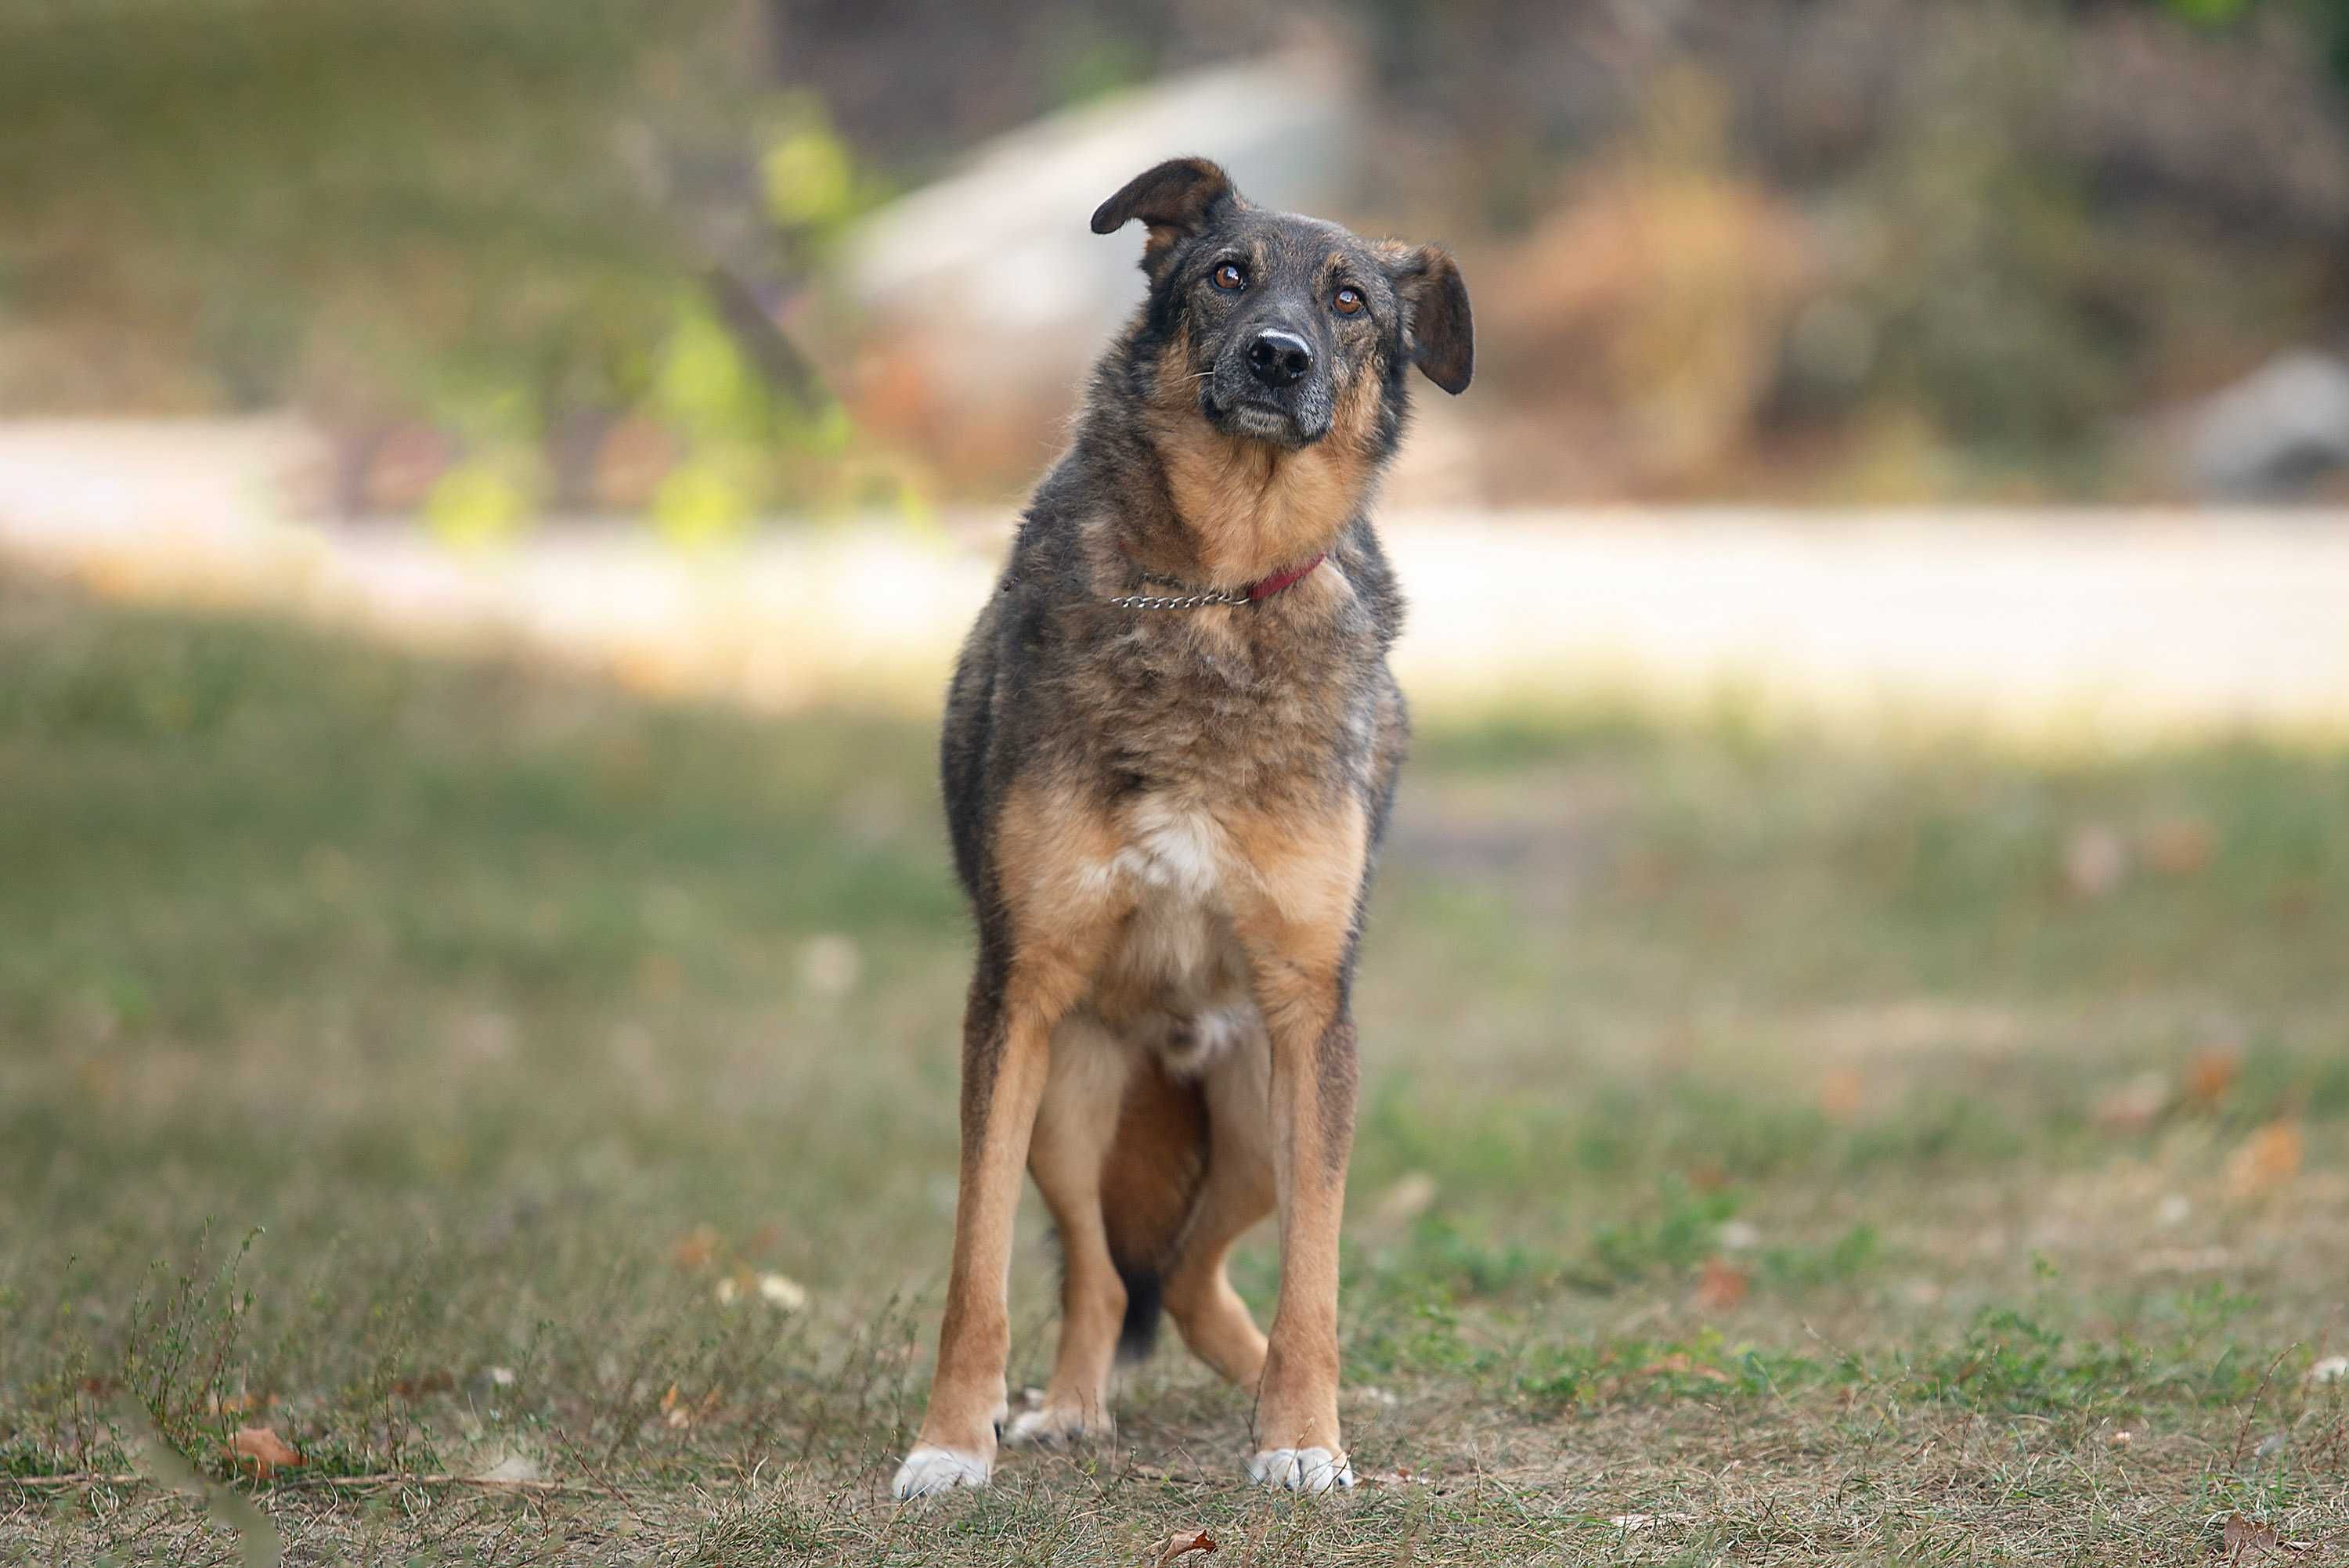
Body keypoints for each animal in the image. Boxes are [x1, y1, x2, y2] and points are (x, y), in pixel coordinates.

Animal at [893, 156, 1466, 1493]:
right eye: (1226, 274)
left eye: (1352, 301)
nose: (1277, 358)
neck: (1218, 590)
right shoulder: (1016, 997)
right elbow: (975, 1265)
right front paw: (950, 1440)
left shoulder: (1310, 1016)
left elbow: (1318, 1272)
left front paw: (1303, 1437)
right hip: (1070, 1100)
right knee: (1110, 1273)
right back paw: (1065, 1405)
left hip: (1261, 1112)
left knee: (1204, 1274)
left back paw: (1296, 1397)